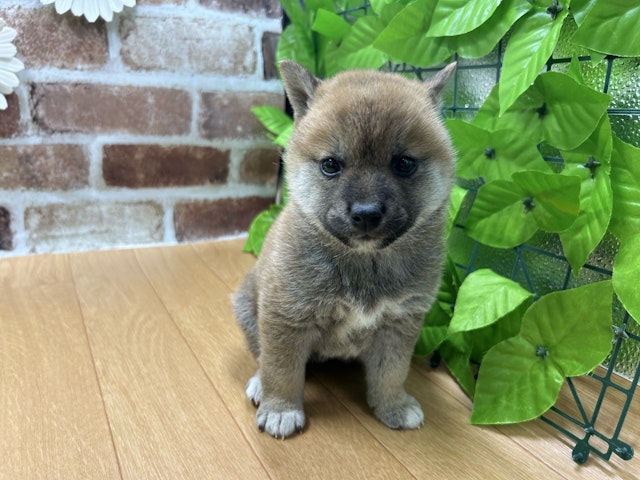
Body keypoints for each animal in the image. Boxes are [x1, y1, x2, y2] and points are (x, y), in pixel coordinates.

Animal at [234, 60, 456, 438]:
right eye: (330, 165)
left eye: (404, 164)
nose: (366, 213)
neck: (364, 263)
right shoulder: (285, 316)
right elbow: (281, 369)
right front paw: (281, 408)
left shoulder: (398, 323)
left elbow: (391, 373)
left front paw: (392, 405)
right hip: (247, 306)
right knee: (262, 355)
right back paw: (260, 384)